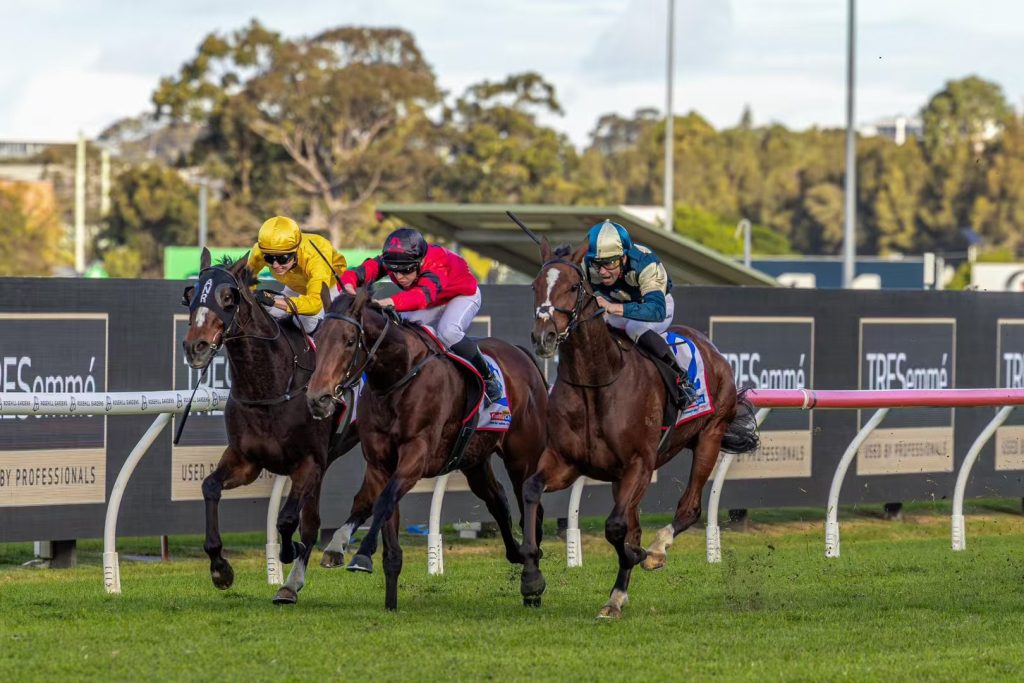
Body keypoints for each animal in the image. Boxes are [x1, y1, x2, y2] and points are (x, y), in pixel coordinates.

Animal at [180, 248, 359, 605]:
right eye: (191, 296)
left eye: (227, 297)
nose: (196, 347)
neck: (270, 384)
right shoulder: (246, 460)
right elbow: (209, 487)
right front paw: (220, 568)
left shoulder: (307, 461)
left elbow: (287, 519)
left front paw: (288, 552)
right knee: (314, 520)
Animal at [306, 285, 548, 611]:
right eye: (318, 339)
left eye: (348, 341)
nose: (317, 399)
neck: (399, 376)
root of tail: (522, 353)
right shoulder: (381, 463)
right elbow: (379, 511)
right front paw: (388, 601)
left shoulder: (416, 455)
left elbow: (383, 501)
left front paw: (361, 556)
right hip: (474, 459)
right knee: (497, 499)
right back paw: (517, 555)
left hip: (522, 455)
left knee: (530, 506)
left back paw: (532, 580)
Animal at [519, 239, 760, 619]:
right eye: (535, 286)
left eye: (572, 287)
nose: (543, 336)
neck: (597, 382)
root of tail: (709, 347)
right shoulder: (566, 462)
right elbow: (531, 490)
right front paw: (531, 580)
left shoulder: (640, 464)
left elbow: (617, 528)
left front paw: (643, 554)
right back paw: (616, 597)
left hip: (709, 435)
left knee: (688, 508)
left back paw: (656, 551)